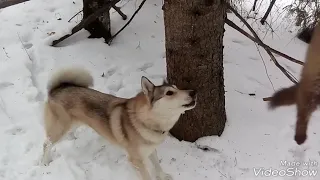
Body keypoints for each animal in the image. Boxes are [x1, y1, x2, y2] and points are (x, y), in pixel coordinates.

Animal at [41, 67, 196, 179]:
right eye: (169, 93)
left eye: (177, 88)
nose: (194, 92)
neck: (146, 120)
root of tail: (57, 88)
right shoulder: (136, 160)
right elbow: (146, 175)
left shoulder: (151, 149)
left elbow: (157, 165)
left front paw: (163, 176)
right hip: (60, 127)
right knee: (46, 143)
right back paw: (44, 162)